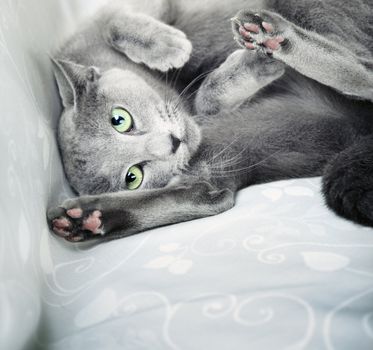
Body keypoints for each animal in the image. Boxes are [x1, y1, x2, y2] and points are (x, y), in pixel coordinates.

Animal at [47, 0, 372, 241]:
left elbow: (115, 21)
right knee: (211, 192)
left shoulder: (113, 14)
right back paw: (84, 219)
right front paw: (252, 67)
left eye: (120, 119)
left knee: (366, 67)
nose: (172, 144)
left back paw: (269, 36)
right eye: (132, 177)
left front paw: (169, 48)